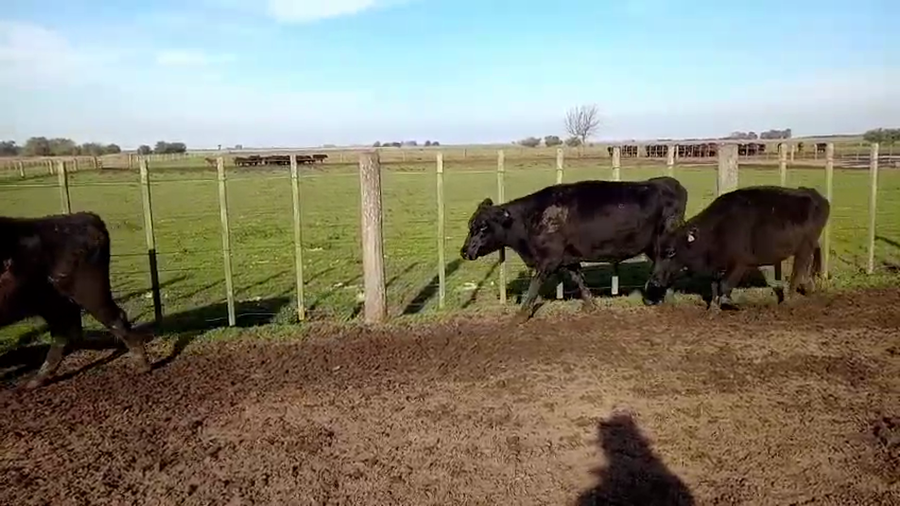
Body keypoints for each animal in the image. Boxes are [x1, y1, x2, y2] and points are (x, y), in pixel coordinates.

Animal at [0, 212, 152, 388]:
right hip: (54, 304)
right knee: (62, 334)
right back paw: (33, 382)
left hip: (88, 293)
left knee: (115, 318)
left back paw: (142, 366)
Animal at [460, 177, 689, 323]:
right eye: (471, 225)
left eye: (482, 227)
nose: (464, 251)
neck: (531, 218)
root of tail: (668, 182)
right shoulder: (568, 259)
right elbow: (579, 279)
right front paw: (590, 305)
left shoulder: (548, 260)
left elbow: (534, 286)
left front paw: (521, 315)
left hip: (662, 242)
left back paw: (666, 298)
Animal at [642, 185, 830, 310]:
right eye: (656, 253)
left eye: (670, 252)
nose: (654, 280)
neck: (717, 229)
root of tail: (813, 194)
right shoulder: (717, 266)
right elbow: (715, 286)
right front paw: (713, 307)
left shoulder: (740, 263)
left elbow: (725, 285)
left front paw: (728, 304)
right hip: (810, 247)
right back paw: (809, 286)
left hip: (804, 248)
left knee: (797, 272)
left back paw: (789, 300)